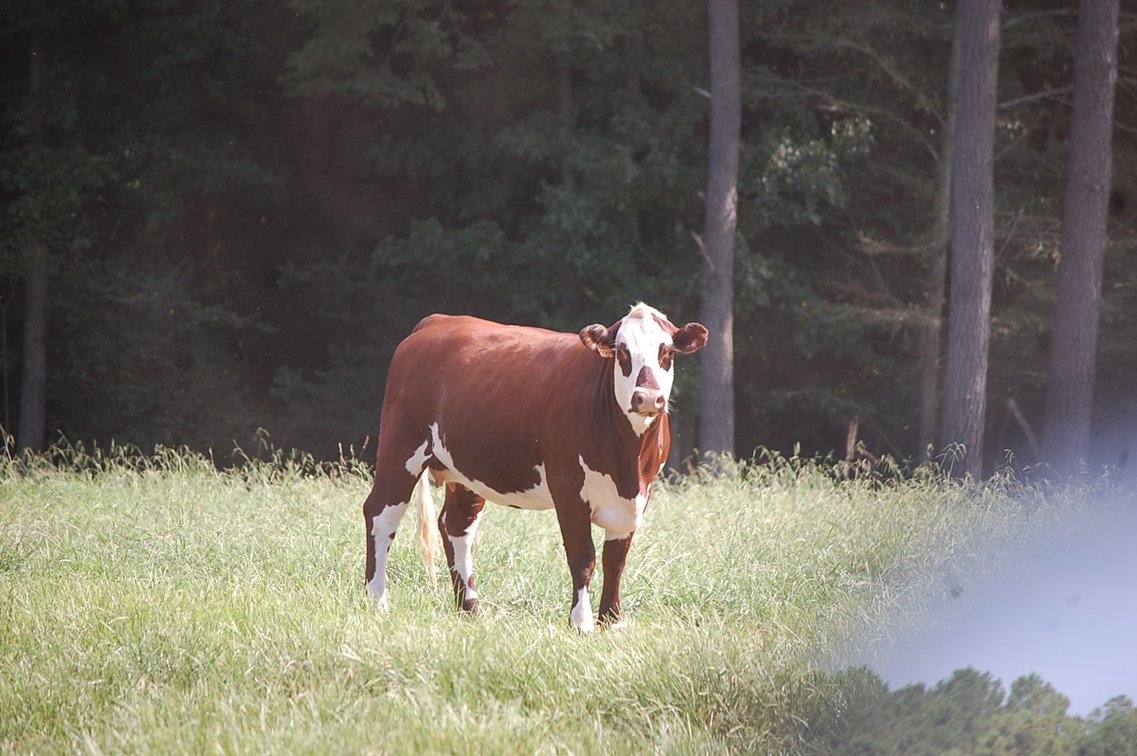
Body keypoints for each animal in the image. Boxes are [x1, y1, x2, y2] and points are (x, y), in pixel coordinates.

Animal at [363, 303, 708, 631]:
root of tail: (436, 321)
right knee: (381, 515)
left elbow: (616, 560)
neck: (627, 461)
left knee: (456, 526)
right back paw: (377, 602)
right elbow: (583, 556)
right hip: (401, 447)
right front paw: (581, 622)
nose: (648, 398)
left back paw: (471, 608)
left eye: (667, 352)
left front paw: (612, 620)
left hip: (466, 470)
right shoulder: (568, 489)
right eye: (622, 352)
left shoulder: (636, 497)